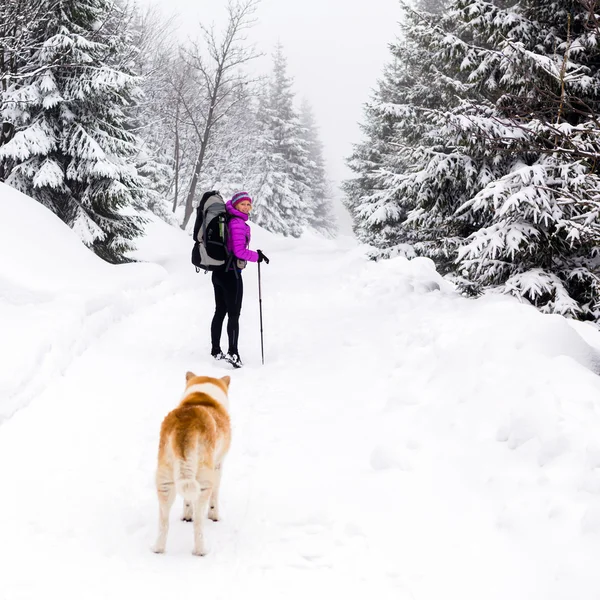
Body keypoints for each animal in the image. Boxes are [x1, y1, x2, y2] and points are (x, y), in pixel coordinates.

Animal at [152, 372, 232, 556]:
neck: (202, 397)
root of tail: (185, 425)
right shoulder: (218, 466)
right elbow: (215, 497)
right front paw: (214, 516)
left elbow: (186, 502)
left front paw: (186, 516)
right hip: (203, 481)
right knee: (198, 523)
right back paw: (201, 550)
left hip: (165, 481)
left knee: (163, 522)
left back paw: (158, 549)